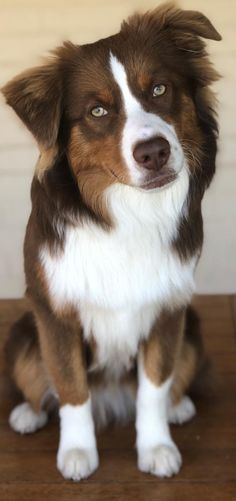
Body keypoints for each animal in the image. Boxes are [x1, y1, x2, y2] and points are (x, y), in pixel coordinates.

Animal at [1, 2, 221, 480]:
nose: (153, 152)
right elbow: (71, 388)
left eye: (159, 88)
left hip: (193, 328)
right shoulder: (56, 312)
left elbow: (154, 386)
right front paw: (77, 452)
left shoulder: (167, 309)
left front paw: (155, 446)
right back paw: (27, 414)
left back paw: (178, 407)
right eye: (98, 112)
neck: (128, 213)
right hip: (24, 333)